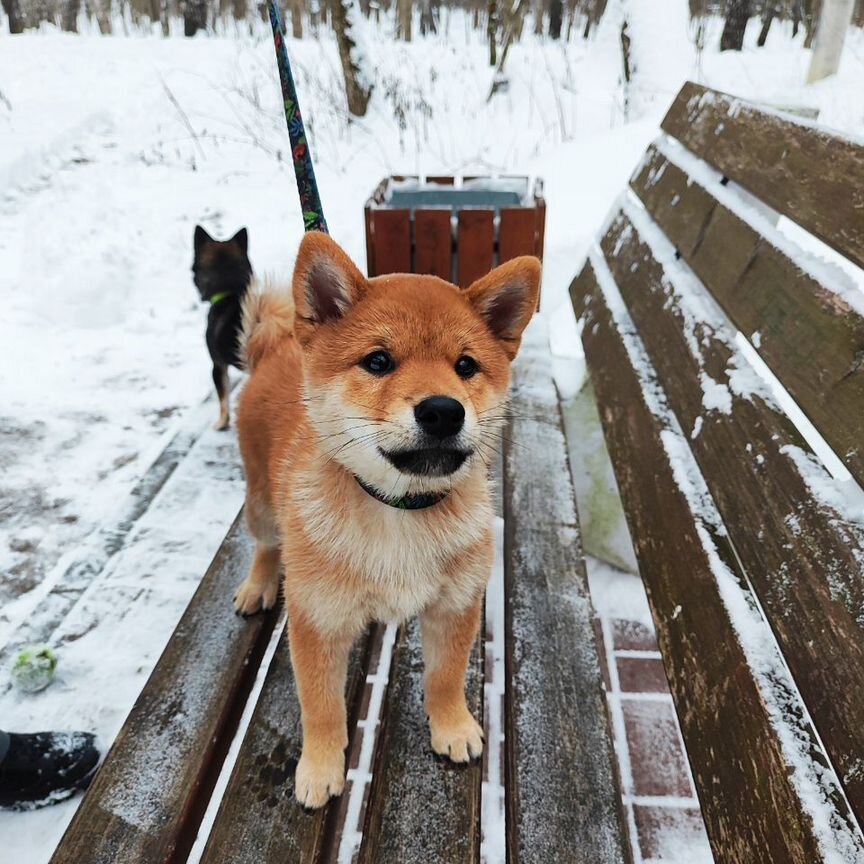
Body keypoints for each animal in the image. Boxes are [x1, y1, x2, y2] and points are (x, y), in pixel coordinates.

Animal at [233, 231, 536, 808]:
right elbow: (322, 707)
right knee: (263, 544)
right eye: (378, 361)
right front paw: (320, 767)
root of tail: (278, 345)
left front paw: (452, 727)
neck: (397, 511)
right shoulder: (318, 621)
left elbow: (445, 678)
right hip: (261, 503)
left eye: (466, 366)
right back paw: (257, 585)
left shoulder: (456, 604)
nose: (443, 410)